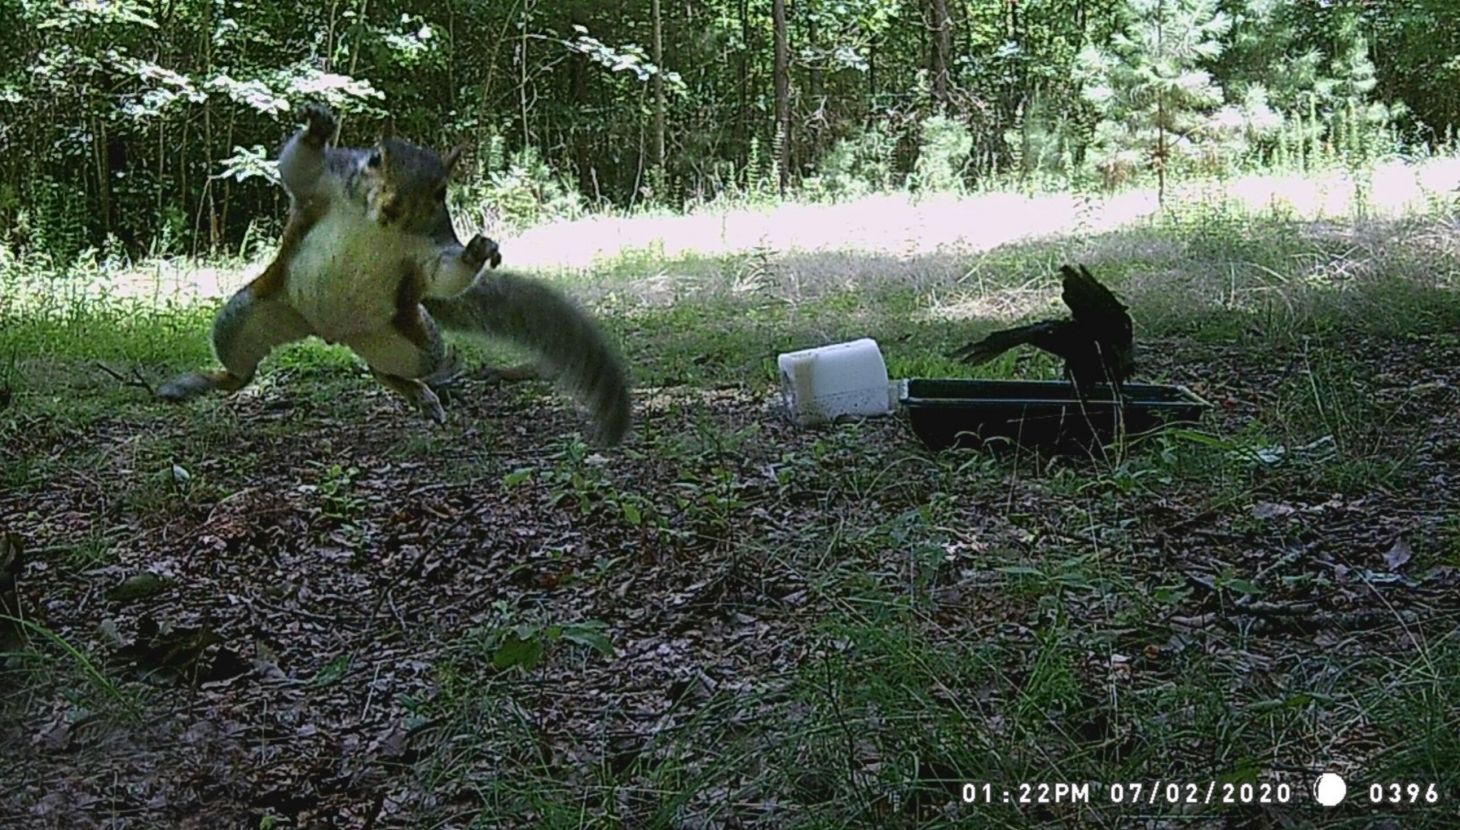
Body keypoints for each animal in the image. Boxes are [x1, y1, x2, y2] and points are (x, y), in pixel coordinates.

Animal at [158, 103, 630, 446]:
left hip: (409, 338)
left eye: (440, 190)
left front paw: (478, 251)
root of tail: (323, 330)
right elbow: (297, 168)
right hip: (247, 314)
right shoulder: (321, 185)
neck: (376, 225)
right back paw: (192, 384)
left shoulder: (428, 252)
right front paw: (317, 128)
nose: (392, 206)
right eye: (374, 158)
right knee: (239, 373)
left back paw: (417, 392)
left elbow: (444, 274)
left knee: (387, 372)